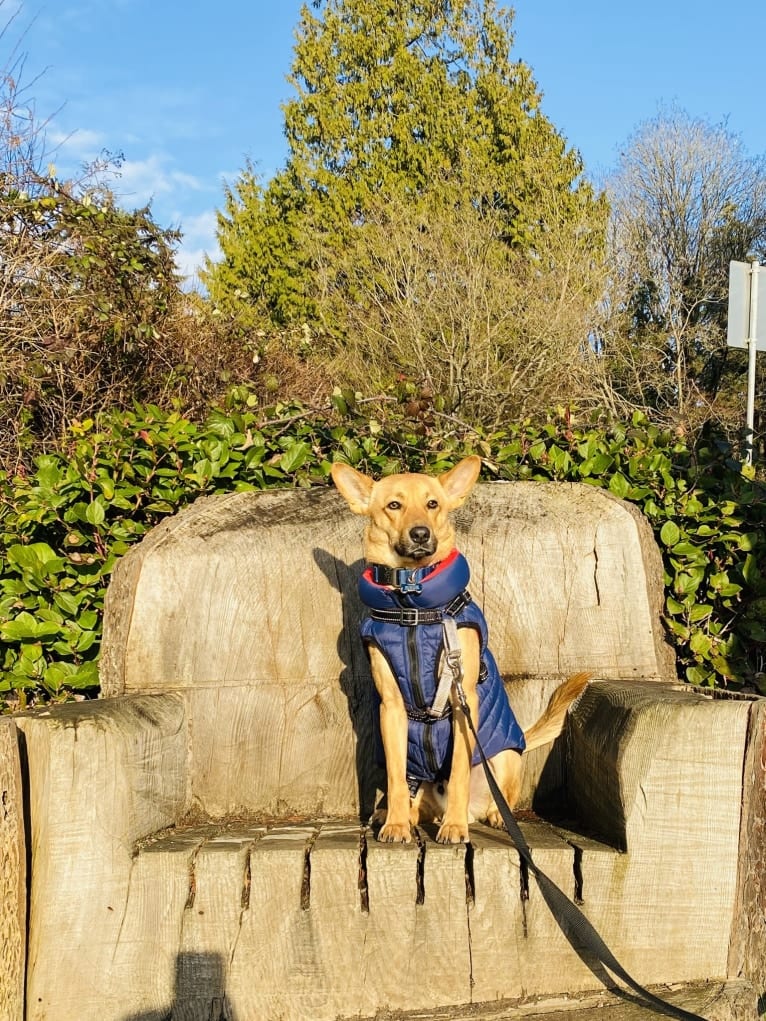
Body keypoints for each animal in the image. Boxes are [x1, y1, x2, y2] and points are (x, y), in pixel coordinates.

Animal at [330, 457, 592, 845]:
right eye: (393, 505)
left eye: (432, 504)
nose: (421, 534)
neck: (414, 606)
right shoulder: (391, 709)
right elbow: (395, 778)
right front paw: (396, 823)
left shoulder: (461, 700)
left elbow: (457, 774)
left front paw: (454, 827)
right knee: (414, 795)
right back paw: (397, 815)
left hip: (506, 757)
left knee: (501, 797)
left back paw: (486, 816)